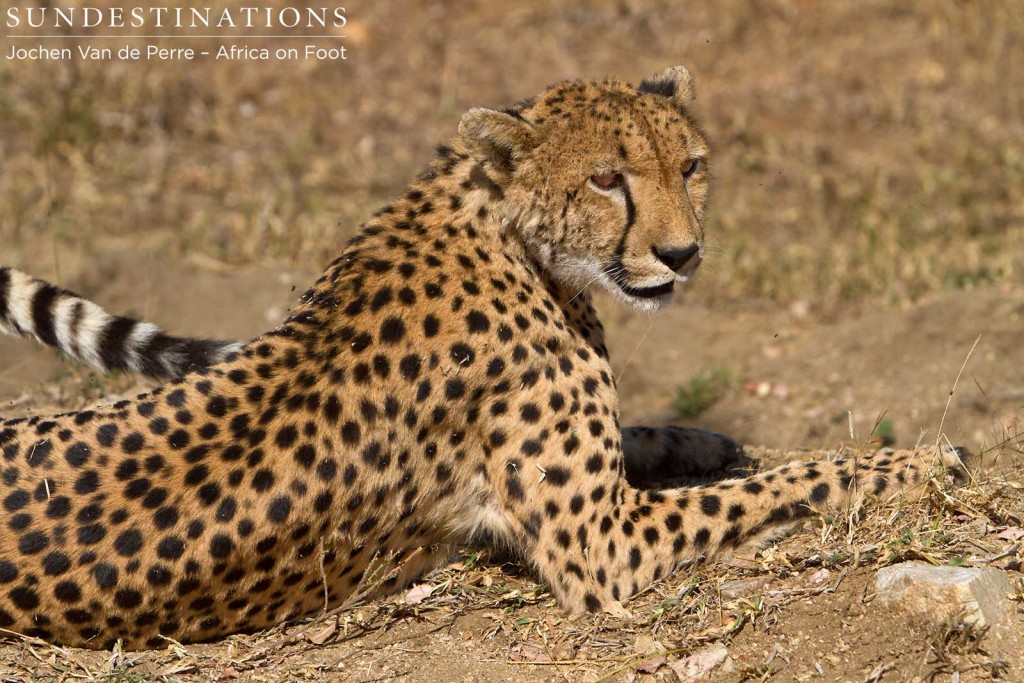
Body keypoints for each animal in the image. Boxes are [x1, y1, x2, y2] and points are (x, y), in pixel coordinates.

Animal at [0, 69, 962, 651]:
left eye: (690, 166)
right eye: (606, 179)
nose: (682, 254)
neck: (505, 229)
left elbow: (659, 439)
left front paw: (703, 438)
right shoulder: (606, 547)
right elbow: (790, 481)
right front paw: (914, 461)